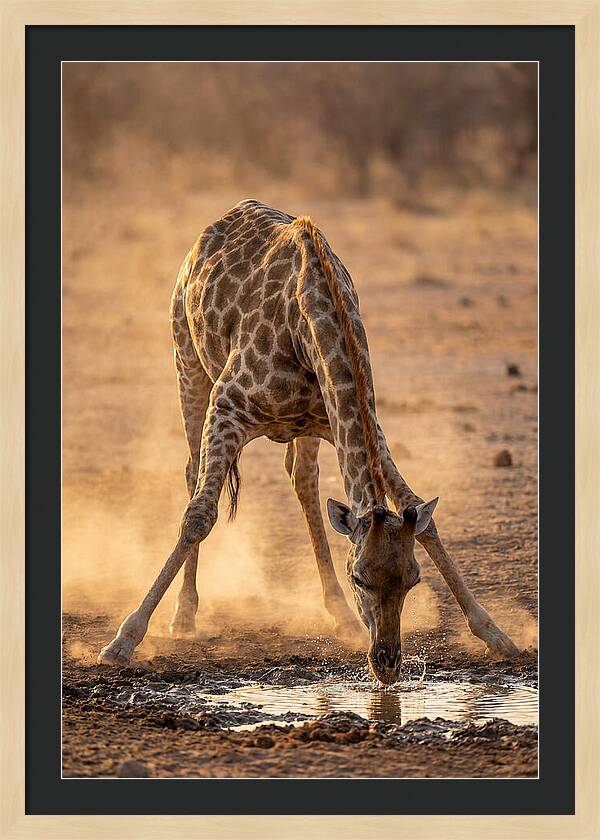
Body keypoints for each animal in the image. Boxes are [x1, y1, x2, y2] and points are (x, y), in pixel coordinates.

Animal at [98, 199, 519, 683]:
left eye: (412, 579)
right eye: (360, 577)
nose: (387, 664)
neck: (312, 322)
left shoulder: (356, 422)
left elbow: (421, 517)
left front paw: (495, 634)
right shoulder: (227, 407)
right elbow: (199, 516)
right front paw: (124, 639)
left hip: (304, 427)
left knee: (303, 480)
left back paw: (340, 616)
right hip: (187, 364)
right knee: (192, 474)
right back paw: (184, 616)